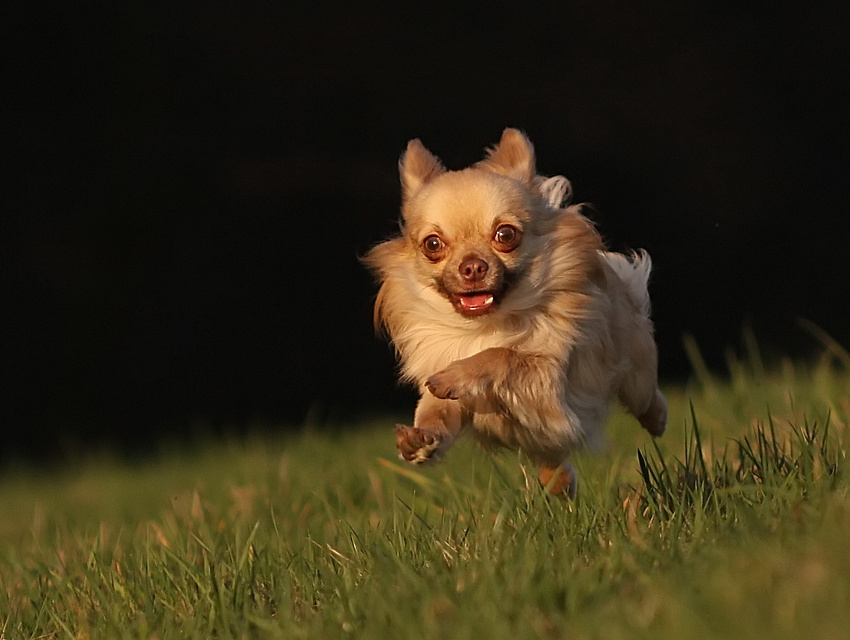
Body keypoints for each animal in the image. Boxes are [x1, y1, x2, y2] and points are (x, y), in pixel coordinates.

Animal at [362, 130, 664, 498]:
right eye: (433, 244)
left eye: (505, 235)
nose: (472, 266)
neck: (483, 327)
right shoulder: (447, 396)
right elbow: (437, 414)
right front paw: (420, 440)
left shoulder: (548, 379)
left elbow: (501, 355)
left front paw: (456, 375)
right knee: (553, 465)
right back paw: (561, 484)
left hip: (635, 373)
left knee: (645, 395)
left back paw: (657, 420)